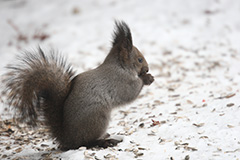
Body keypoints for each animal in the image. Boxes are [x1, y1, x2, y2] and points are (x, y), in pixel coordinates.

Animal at [1, 20, 155, 150]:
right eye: (139, 59)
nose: (147, 68)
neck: (119, 66)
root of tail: (67, 138)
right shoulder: (120, 81)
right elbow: (130, 92)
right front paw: (147, 78)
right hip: (97, 118)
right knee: (86, 142)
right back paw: (104, 141)